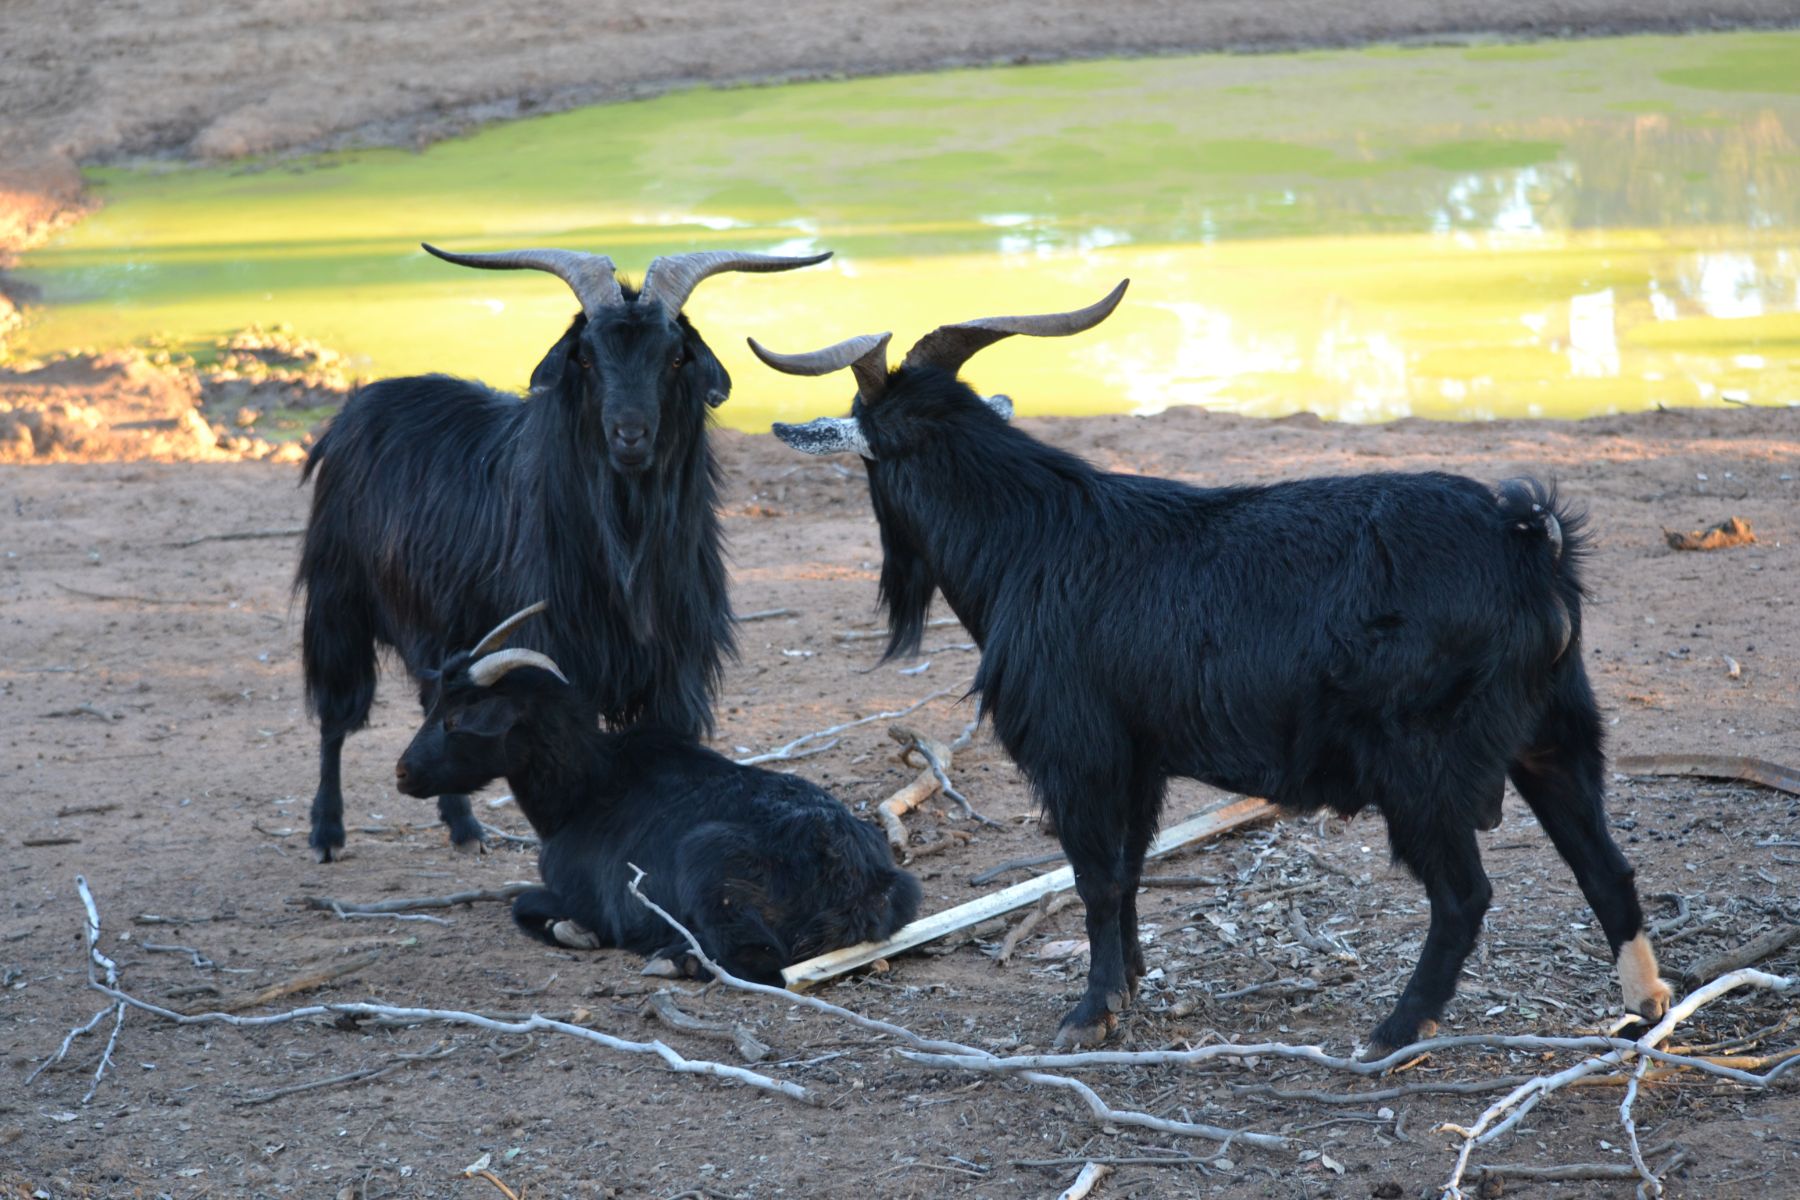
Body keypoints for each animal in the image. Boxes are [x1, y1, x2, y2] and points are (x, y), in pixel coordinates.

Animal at [297, 244, 829, 862]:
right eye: (586, 358)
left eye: (675, 357)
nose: (630, 435)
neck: (625, 545)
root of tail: (355, 410)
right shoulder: (557, 658)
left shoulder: (673, 671)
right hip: (339, 601)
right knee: (336, 714)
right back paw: (327, 832)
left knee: (433, 698)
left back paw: (465, 827)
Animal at [393, 602, 923, 981]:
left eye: (455, 718)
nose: (402, 773)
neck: (586, 791)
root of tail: (858, 881)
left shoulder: (588, 897)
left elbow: (523, 906)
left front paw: (574, 932)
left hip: (708, 864)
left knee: (759, 959)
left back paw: (675, 958)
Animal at [752, 285, 1673, 1053]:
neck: (1033, 538)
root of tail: (1529, 542)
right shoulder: (1140, 757)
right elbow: (1127, 871)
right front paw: (1129, 984)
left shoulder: (1077, 748)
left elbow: (1094, 875)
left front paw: (1090, 1012)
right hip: (1555, 731)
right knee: (1605, 866)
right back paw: (1644, 1009)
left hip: (1423, 761)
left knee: (1464, 895)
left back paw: (1396, 1030)